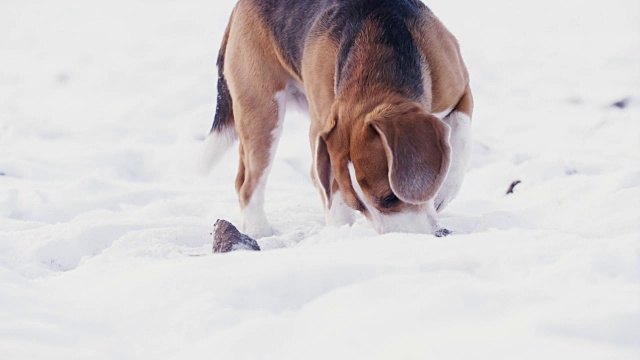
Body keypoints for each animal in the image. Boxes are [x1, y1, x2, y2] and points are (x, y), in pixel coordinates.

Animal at [202, 0, 472, 239]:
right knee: (249, 184)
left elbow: (459, 137)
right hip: (263, 112)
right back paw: (260, 231)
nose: (395, 240)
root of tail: (238, 7)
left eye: (391, 198)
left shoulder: (461, 91)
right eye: (359, 207)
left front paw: (442, 192)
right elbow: (333, 190)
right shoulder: (325, 129)